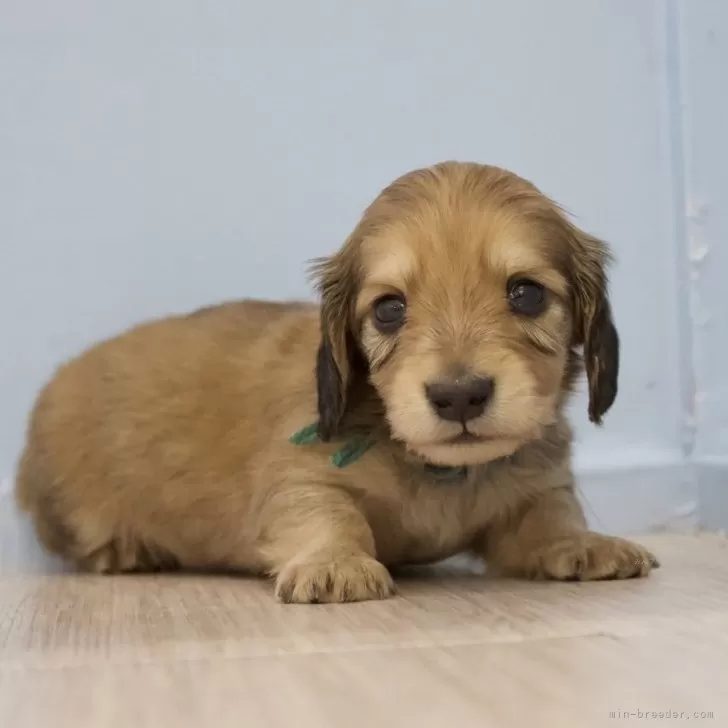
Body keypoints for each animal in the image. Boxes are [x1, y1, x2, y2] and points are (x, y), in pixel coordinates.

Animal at [14, 164, 660, 604]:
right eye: (389, 310)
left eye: (526, 293)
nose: (459, 396)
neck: (438, 472)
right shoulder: (299, 477)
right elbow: (328, 512)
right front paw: (334, 563)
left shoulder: (536, 486)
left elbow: (550, 516)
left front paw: (584, 544)